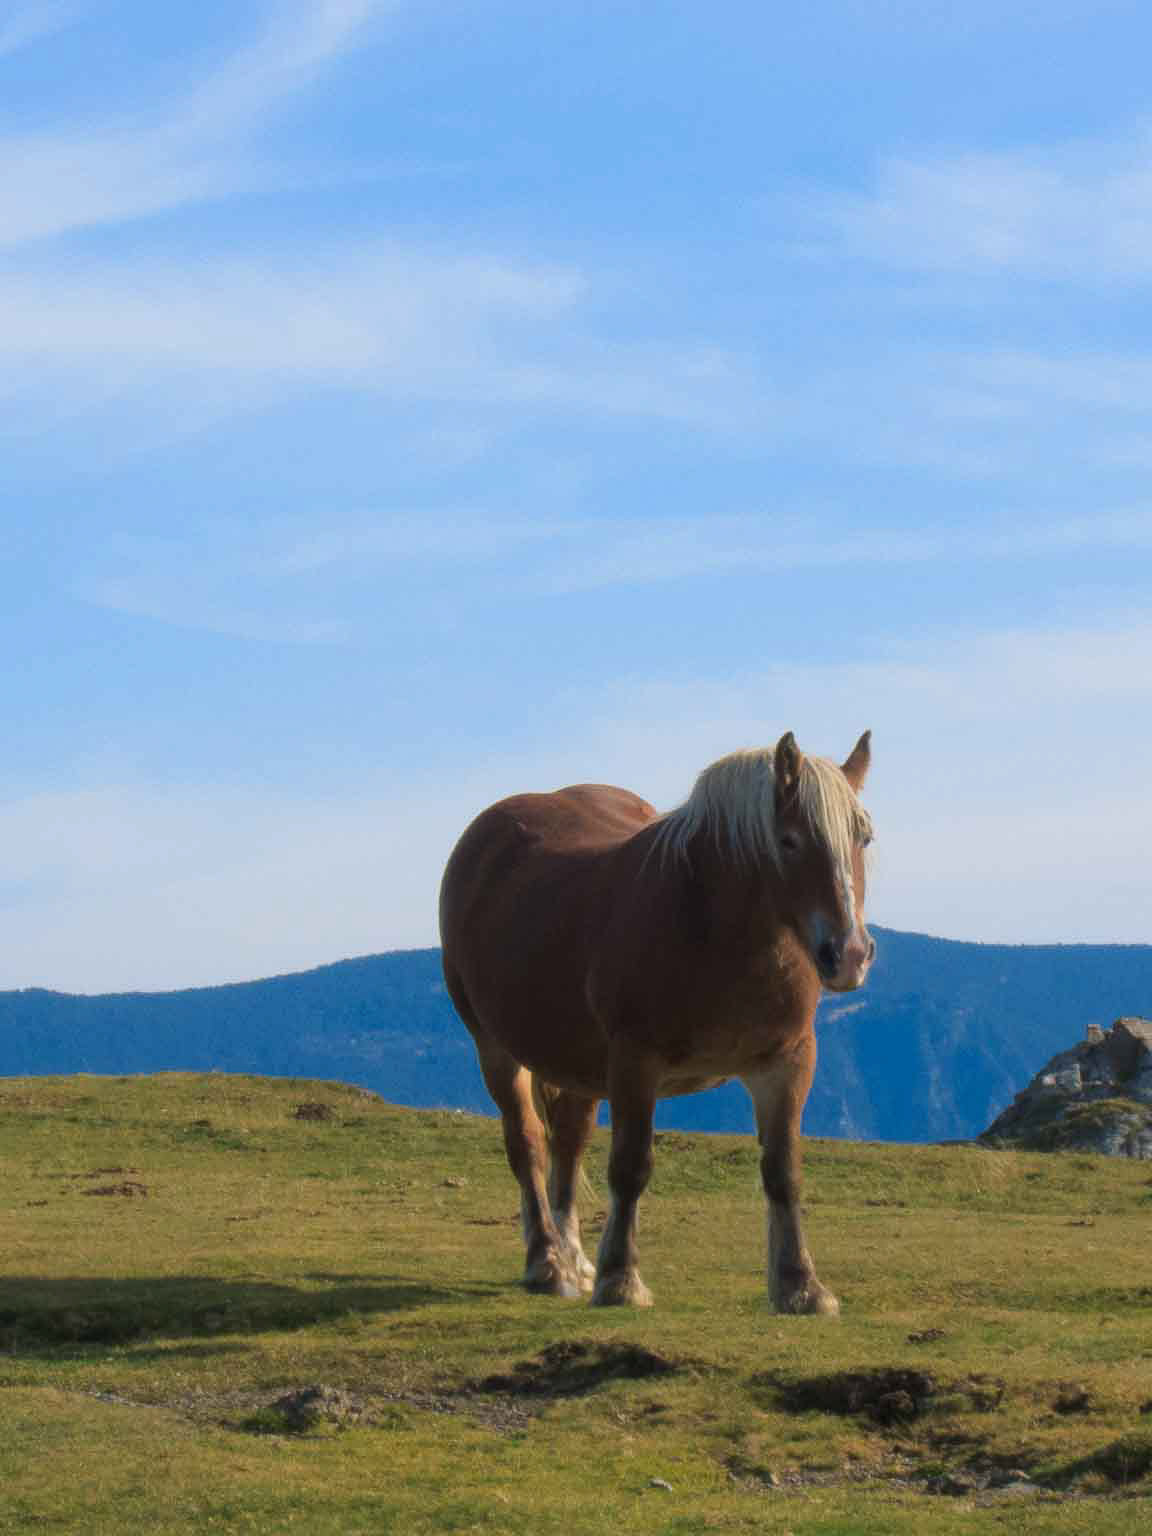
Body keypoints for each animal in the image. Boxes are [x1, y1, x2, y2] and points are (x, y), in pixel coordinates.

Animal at [438, 729, 874, 1314]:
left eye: (863, 838)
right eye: (788, 841)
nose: (847, 954)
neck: (711, 929)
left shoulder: (787, 1062)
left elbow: (784, 1171)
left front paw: (800, 1286)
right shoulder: (634, 1063)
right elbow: (630, 1166)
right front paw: (620, 1278)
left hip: (579, 1066)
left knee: (568, 1142)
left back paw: (574, 1256)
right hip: (497, 1050)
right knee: (527, 1144)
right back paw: (547, 1262)